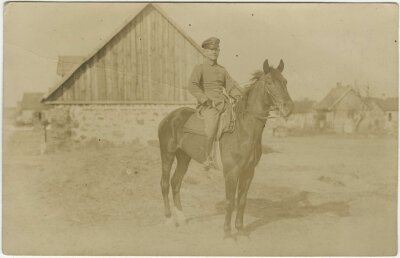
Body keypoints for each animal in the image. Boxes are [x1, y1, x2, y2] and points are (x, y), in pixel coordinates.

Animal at [159, 59, 294, 237]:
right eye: (269, 82)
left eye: (285, 82)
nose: (289, 108)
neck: (243, 129)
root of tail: (168, 117)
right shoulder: (231, 172)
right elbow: (230, 202)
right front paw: (228, 233)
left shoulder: (248, 171)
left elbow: (242, 201)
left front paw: (241, 231)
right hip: (167, 155)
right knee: (165, 184)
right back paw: (168, 220)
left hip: (183, 157)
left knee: (175, 183)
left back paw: (182, 218)